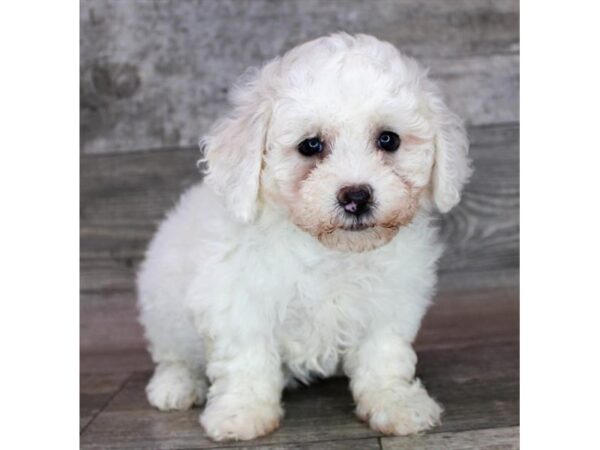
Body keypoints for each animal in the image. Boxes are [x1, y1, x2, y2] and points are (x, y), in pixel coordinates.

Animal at [138, 33, 472, 442]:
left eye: (388, 140)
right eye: (310, 145)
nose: (356, 196)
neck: (330, 250)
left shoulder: (389, 301)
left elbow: (384, 354)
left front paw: (395, 402)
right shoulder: (238, 300)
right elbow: (246, 358)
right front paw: (242, 413)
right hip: (162, 305)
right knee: (173, 354)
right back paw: (176, 385)